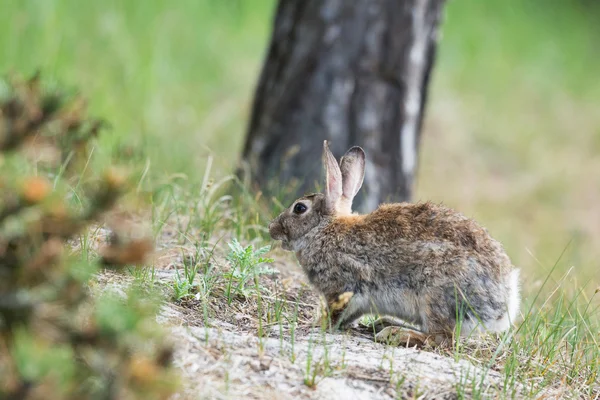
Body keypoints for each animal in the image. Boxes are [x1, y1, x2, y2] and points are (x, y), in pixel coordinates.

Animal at [268, 141, 520, 346]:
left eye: (299, 208)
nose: (272, 228)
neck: (324, 230)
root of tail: (503, 299)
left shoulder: (342, 288)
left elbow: (335, 314)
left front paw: (316, 325)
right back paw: (384, 323)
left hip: (436, 294)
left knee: (441, 338)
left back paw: (395, 334)